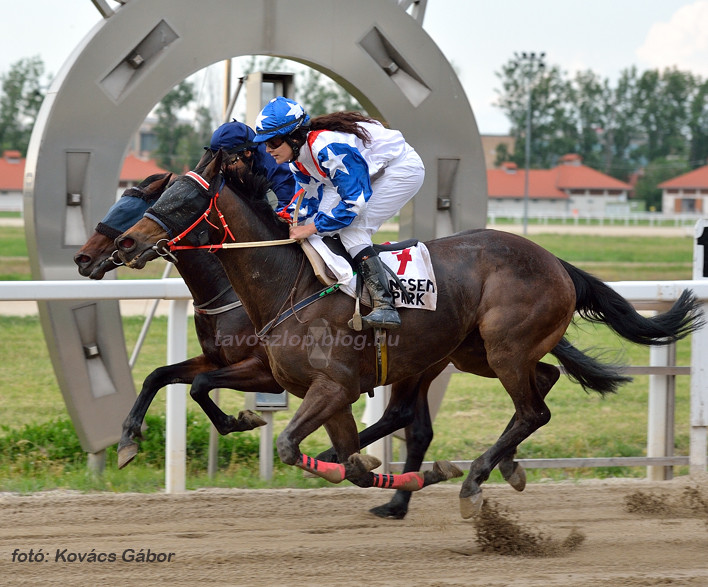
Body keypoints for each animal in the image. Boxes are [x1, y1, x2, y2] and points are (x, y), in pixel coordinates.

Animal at [113, 152, 700, 520]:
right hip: (469, 352)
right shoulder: (316, 389)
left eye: (182, 201)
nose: (125, 244)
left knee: (533, 409)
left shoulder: (333, 386)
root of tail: (555, 260)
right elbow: (345, 458)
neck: (291, 284)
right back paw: (501, 467)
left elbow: (289, 444)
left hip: (502, 347)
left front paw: (426, 476)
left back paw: (476, 478)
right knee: (543, 378)